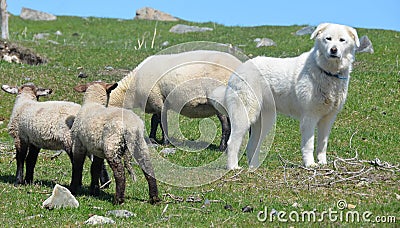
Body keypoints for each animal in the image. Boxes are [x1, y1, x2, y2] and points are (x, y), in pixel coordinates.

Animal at [108, 49, 242, 151]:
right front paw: (152, 138)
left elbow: (162, 122)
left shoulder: (156, 99)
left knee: (225, 124)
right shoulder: (157, 101)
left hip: (219, 98)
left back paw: (222, 147)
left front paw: (165, 142)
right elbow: (154, 121)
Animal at [214, 23, 360, 169]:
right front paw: (310, 164)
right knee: (232, 142)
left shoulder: (328, 119)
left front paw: (322, 162)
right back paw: (233, 167)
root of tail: (238, 70)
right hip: (245, 115)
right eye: (328, 39)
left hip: (265, 121)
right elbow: (309, 145)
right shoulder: (309, 117)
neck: (327, 72)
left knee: (251, 146)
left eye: (342, 40)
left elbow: (322, 145)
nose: (333, 50)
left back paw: (253, 168)